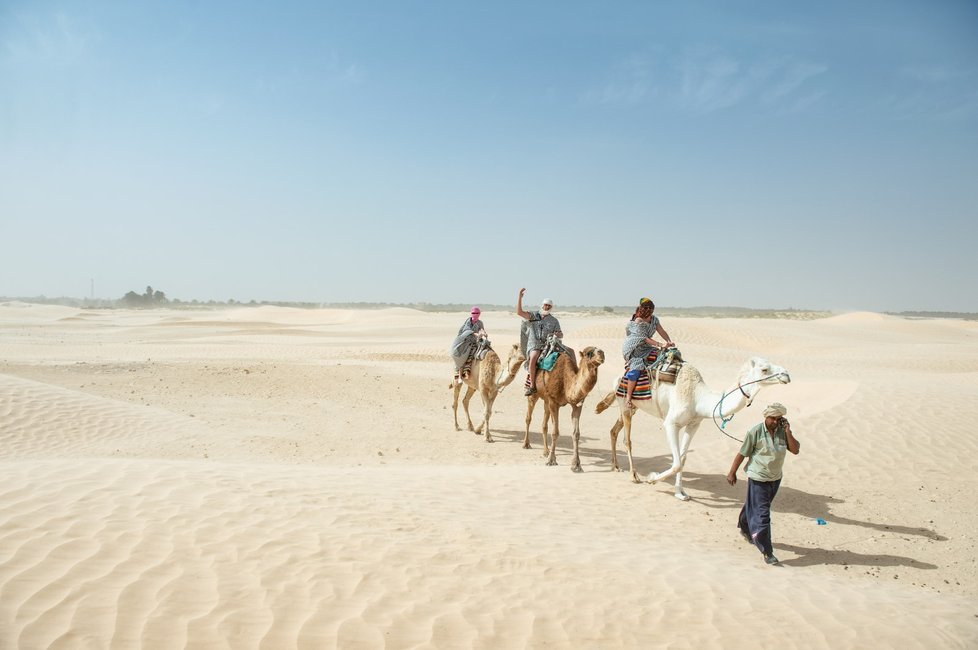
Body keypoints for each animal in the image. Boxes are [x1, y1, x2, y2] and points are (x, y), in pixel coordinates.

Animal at [592, 356, 788, 498]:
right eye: (764, 369)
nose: (786, 374)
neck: (698, 397)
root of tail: (619, 377)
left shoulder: (693, 424)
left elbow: (683, 458)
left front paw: (680, 492)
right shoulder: (671, 423)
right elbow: (677, 462)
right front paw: (652, 478)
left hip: (633, 407)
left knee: (614, 430)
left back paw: (616, 466)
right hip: (624, 403)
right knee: (627, 440)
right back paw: (634, 476)